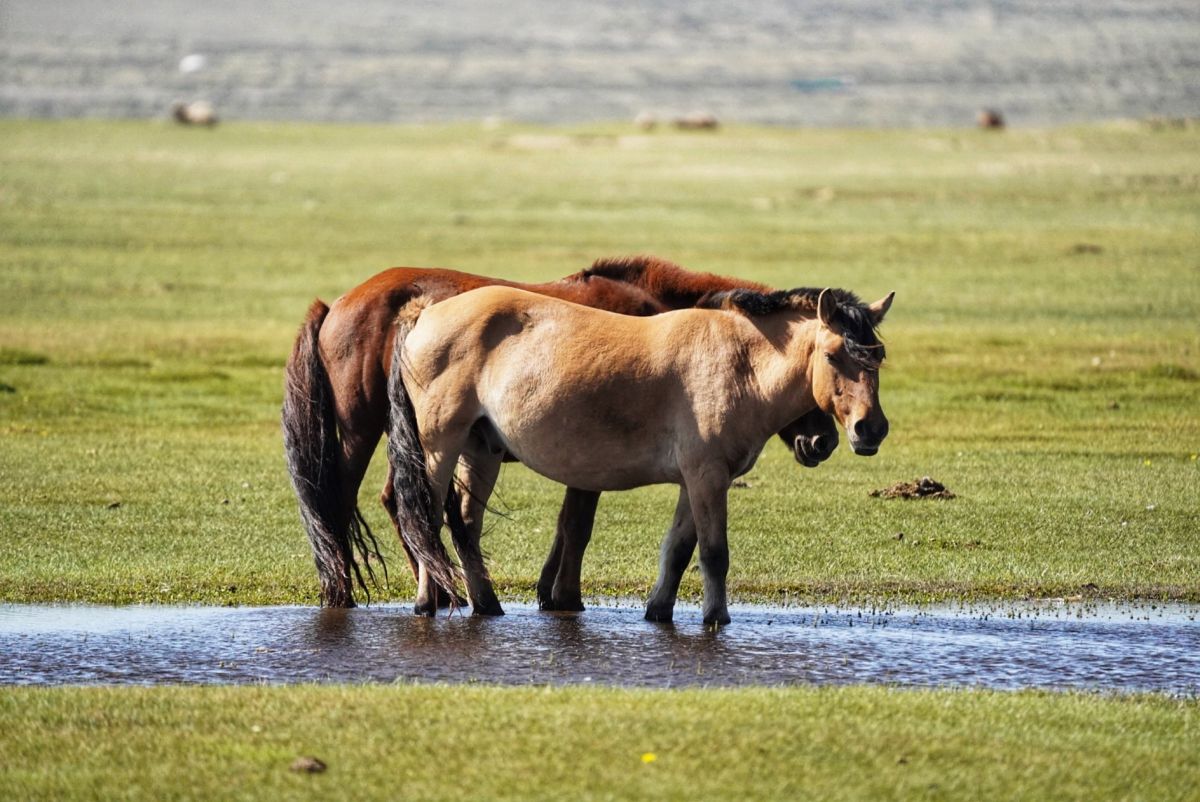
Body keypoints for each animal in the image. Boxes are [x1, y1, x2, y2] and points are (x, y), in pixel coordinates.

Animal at [285, 256, 840, 607]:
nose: (824, 441)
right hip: (364, 432)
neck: (655, 324)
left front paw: (547, 591)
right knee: (348, 502)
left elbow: (566, 525)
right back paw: (359, 593)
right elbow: (577, 525)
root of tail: (336, 305)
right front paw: (565, 597)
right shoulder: (589, 458)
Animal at [391, 283, 892, 624]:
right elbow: (714, 552)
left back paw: (488, 604)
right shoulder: (708, 476)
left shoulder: (698, 480)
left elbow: (678, 549)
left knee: (465, 526)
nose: (871, 429)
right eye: (833, 354)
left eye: (879, 354)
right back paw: (427, 603)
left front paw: (658, 610)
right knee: (427, 519)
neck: (738, 363)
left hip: (482, 449)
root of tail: (426, 312)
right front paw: (716, 619)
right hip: (441, 444)